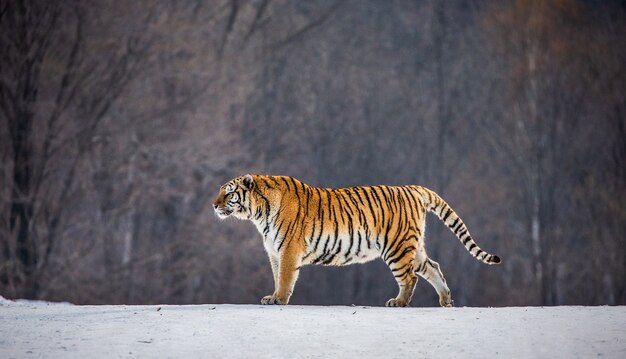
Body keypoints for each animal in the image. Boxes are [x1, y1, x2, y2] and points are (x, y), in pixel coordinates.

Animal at [212, 174, 500, 306]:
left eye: (229, 193)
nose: (213, 205)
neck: (258, 214)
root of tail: (413, 188)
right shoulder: (274, 252)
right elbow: (276, 277)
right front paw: (272, 297)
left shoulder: (288, 251)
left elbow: (284, 278)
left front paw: (279, 299)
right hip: (413, 247)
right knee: (433, 267)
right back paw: (445, 301)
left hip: (397, 247)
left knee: (410, 277)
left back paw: (399, 302)